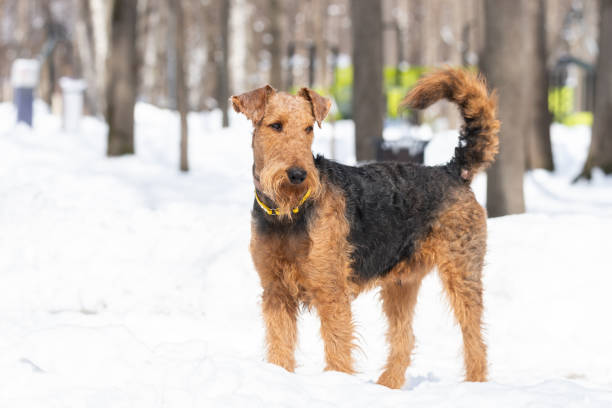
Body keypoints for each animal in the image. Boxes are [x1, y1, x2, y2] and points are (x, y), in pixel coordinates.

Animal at [232, 67, 500, 388]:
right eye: (275, 125)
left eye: (309, 128)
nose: (298, 175)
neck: (285, 214)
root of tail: (453, 170)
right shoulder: (275, 290)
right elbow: (280, 348)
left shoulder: (331, 290)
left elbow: (337, 349)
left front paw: (337, 382)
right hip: (401, 283)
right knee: (405, 339)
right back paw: (387, 385)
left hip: (461, 273)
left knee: (475, 340)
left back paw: (474, 384)